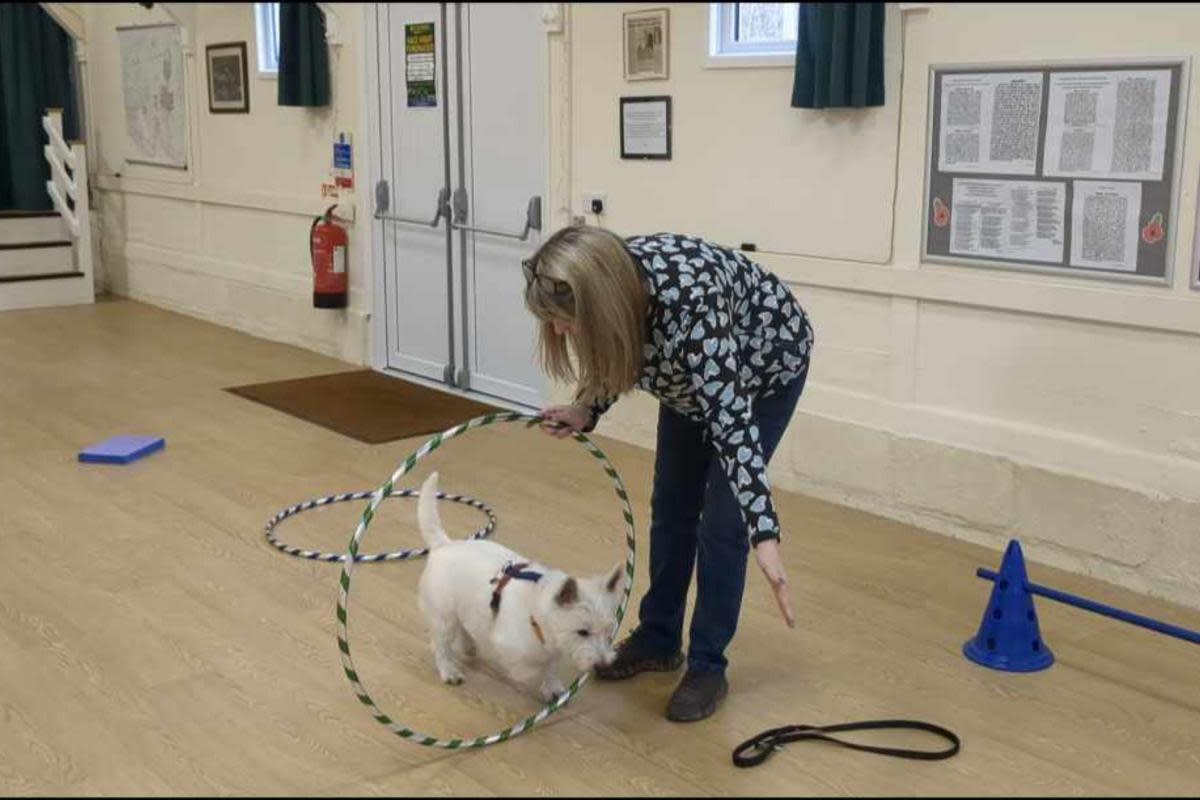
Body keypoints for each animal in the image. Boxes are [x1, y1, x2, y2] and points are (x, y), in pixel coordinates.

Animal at [417, 472, 624, 705]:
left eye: (609, 630)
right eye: (583, 632)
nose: (604, 664)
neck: (536, 611)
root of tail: (444, 545)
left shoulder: (554, 648)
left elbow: (551, 665)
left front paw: (552, 687)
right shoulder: (512, 646)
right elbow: (533, 665)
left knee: (461, 627)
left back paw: (468, 645)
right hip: (443, 617)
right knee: (440, 645)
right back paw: (450, 671)